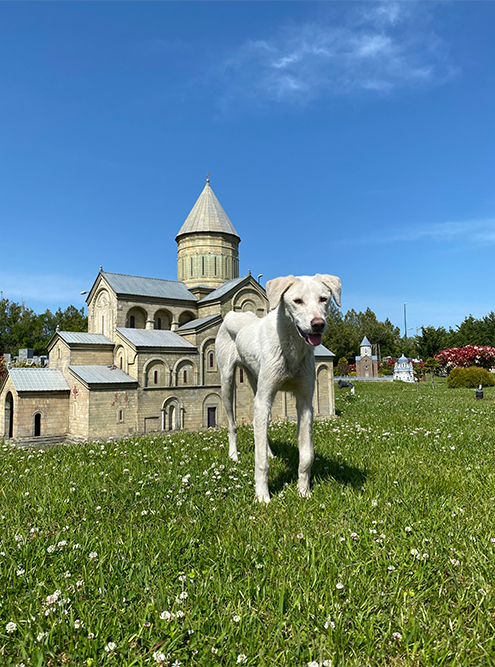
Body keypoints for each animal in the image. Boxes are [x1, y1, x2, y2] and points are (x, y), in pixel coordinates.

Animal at [216, 274, 340, 504]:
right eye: (297, 301)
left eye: (324, 299)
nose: (318, 324)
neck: (291, 348)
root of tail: (231, 314)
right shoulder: (264, 398)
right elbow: (260, 463)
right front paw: (262, 497)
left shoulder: (305, 403)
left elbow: (307, 456)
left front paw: (303, 491)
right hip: (227, 383)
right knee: (232, 425)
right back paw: (234, 455)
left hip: (256, 384)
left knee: (260, 426)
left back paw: (269, 451)